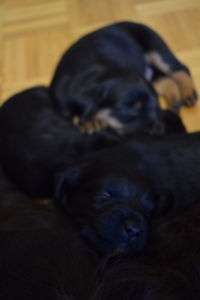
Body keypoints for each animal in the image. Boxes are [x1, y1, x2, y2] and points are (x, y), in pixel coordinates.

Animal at [50, 21, 197, 134]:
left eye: (156, 107)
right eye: (130, 108)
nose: (160, 129)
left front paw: (91, 120)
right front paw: (90, 121)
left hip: (156, 48)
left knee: (181, 69)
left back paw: (188, 93)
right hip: (151, 74)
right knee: (167, 81)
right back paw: (175, 101)